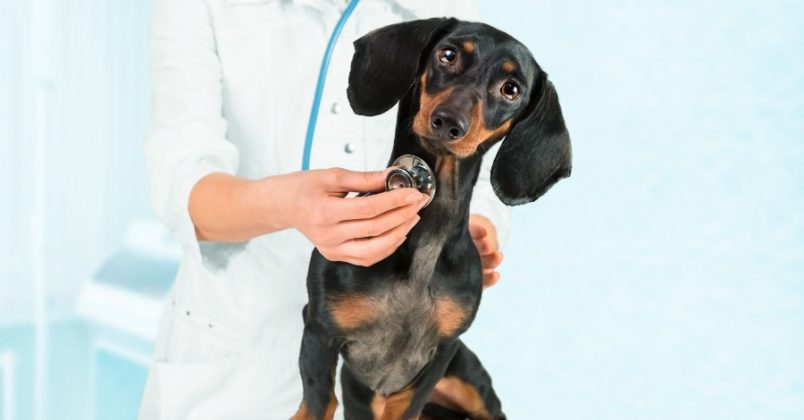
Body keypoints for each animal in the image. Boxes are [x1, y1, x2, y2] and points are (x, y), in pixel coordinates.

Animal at [294, 18, 572, 418]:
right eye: (448, 54)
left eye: (511, 89)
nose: (448, 122)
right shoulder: (319, 331)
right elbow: (318, 400)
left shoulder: (440, 355)